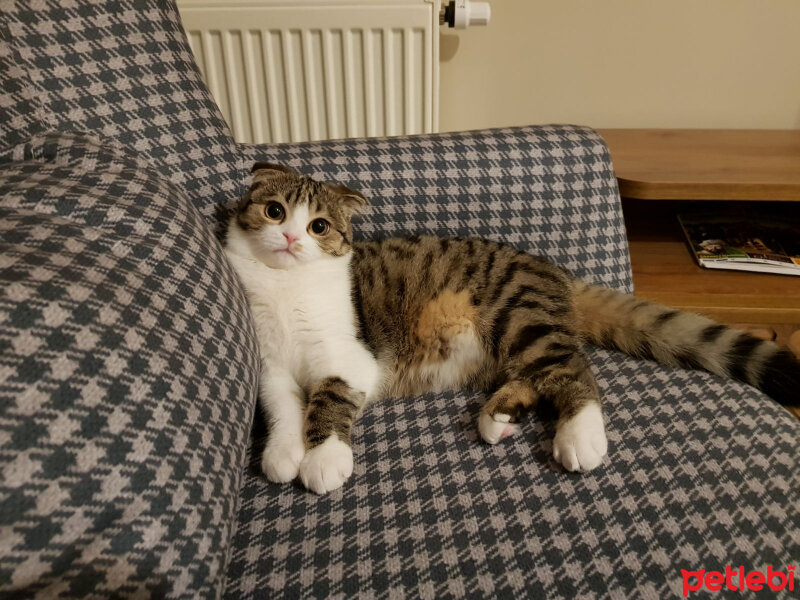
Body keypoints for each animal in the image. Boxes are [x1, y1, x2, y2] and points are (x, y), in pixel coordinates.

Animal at [223, 163, 800, 492]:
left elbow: (326, 399)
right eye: (274, 211)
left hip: (519, 317)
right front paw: (283, 454)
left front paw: (322, 460)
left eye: (319, 226)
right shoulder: (271, 366)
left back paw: (580, 435)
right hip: (501, 347)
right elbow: (281, 408)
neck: (287, 285)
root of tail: (552, 272)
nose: (292, 238)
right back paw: (498, 415)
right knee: (536, 377)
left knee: (572, 371)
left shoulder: (348, 358)